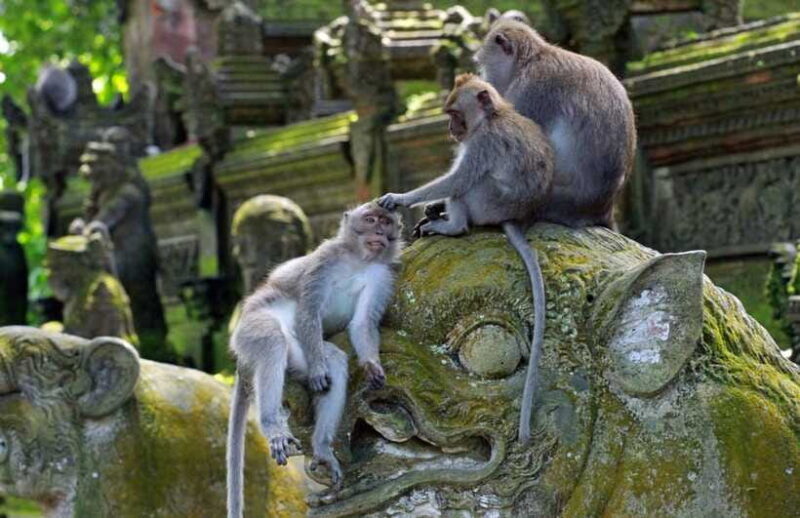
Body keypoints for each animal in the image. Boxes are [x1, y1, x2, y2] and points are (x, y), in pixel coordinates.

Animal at [227, 202, 402, 518]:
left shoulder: (382, 275)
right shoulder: (325, 260)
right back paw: (272, 425)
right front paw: (321, 371)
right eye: (370, 219)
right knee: (272, 341)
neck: (358, 260)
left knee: (334, 359)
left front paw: (372, 365)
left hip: (300, 352)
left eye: (386, 221)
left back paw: (321, 447)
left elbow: (362, 323)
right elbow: (309, 311)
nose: (380, 233)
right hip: (251, 328)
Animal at [377, 74, 553, 444]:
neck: (493, 117)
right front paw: (429, 206)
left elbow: (457, 179)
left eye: (455, 113)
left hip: (487, 201)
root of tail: (514, 217)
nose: (450, 128)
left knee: (467, 185)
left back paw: (452, 225)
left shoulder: (482, 144)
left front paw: (401, 198)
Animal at [475, 19, 636, 229]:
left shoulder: (529, 91)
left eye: (484, 66)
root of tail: (603, 209)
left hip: (551, 200)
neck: (529, 61)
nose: (486, 80)